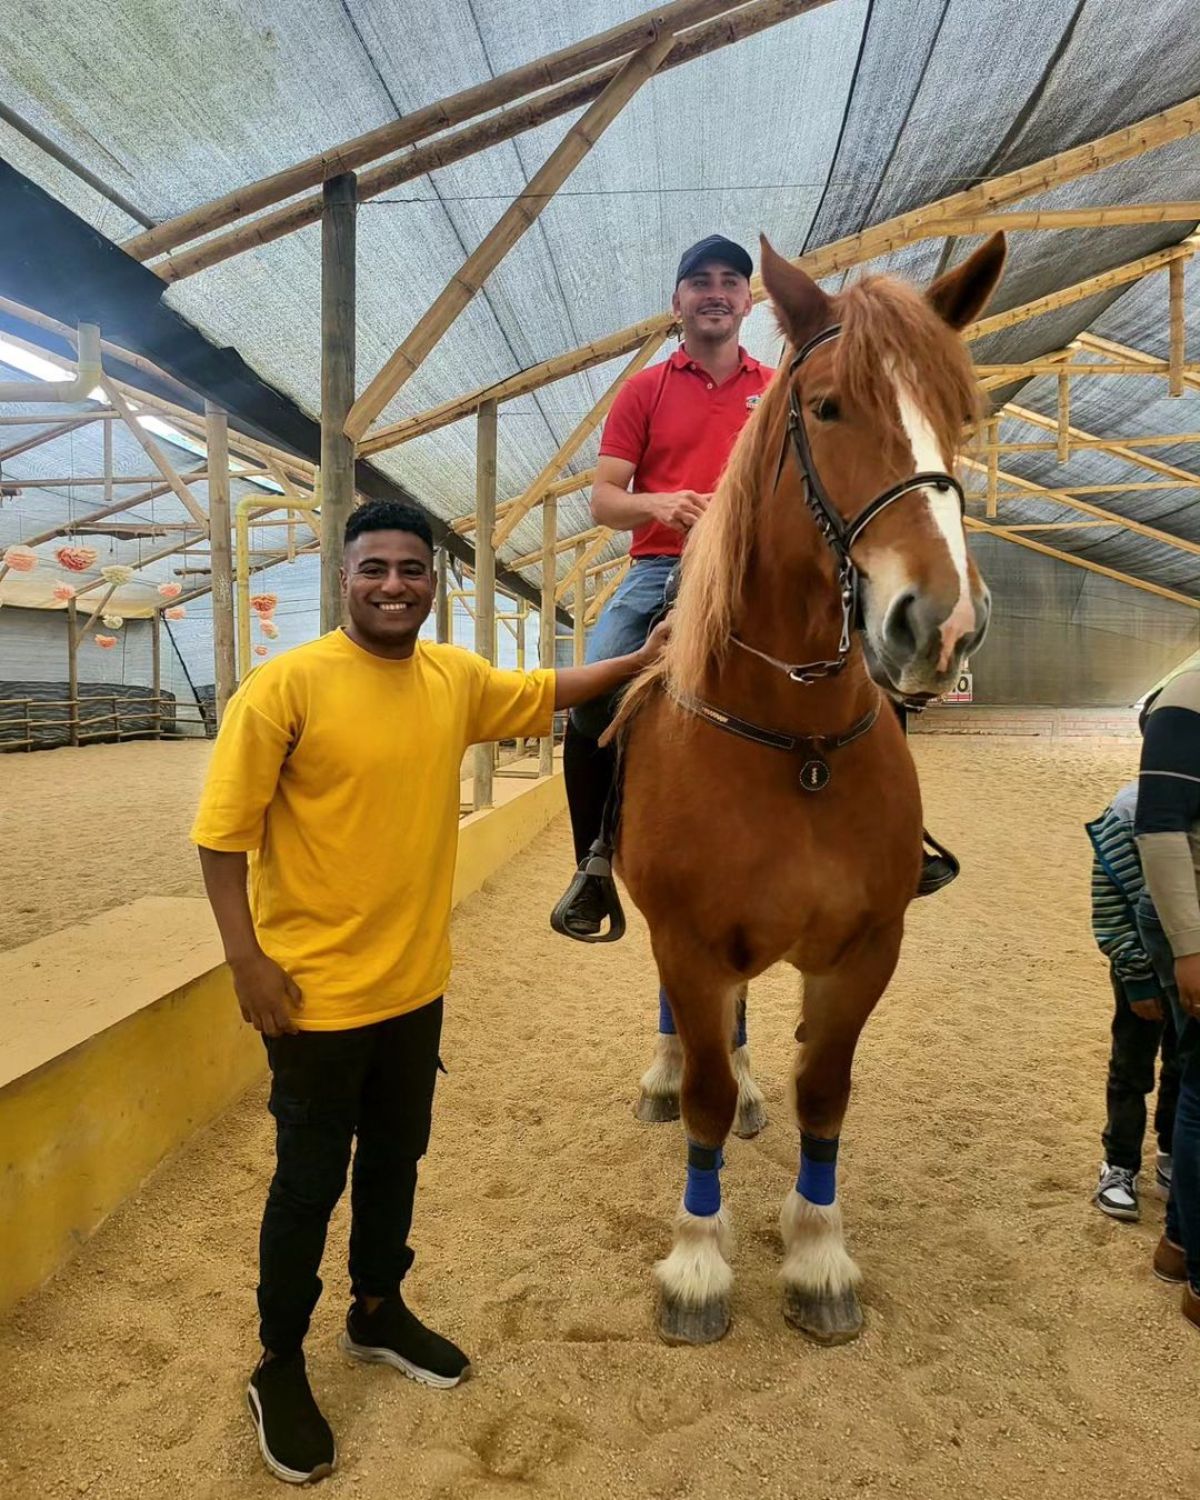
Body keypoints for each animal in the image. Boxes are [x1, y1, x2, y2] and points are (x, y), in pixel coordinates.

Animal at [609, 234, 1002, 1350]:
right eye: (826, 407)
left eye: (960, 416)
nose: (942, 625)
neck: (797, 745)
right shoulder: (690, 938)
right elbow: (701, 1094)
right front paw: (698, 1265)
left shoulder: (867, 946)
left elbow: (824, 1092)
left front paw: (821, 1254)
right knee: (685, 1034)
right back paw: (667, 1078)